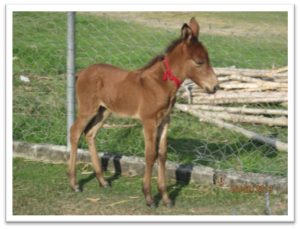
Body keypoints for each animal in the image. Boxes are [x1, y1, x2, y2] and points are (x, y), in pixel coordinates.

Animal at [67, 17, 218, 208]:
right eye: (199, 62)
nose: (215, 87)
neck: (161, 84)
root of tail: (81, 72)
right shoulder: (149, 121)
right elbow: (150, 155)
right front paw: (149, 197)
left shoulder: (165, 121)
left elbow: (162, 155)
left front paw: (166, 198)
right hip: (88, 108)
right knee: (75, 131)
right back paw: (74, 183)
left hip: (104, 111)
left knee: (90, 134)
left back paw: (103, 181)